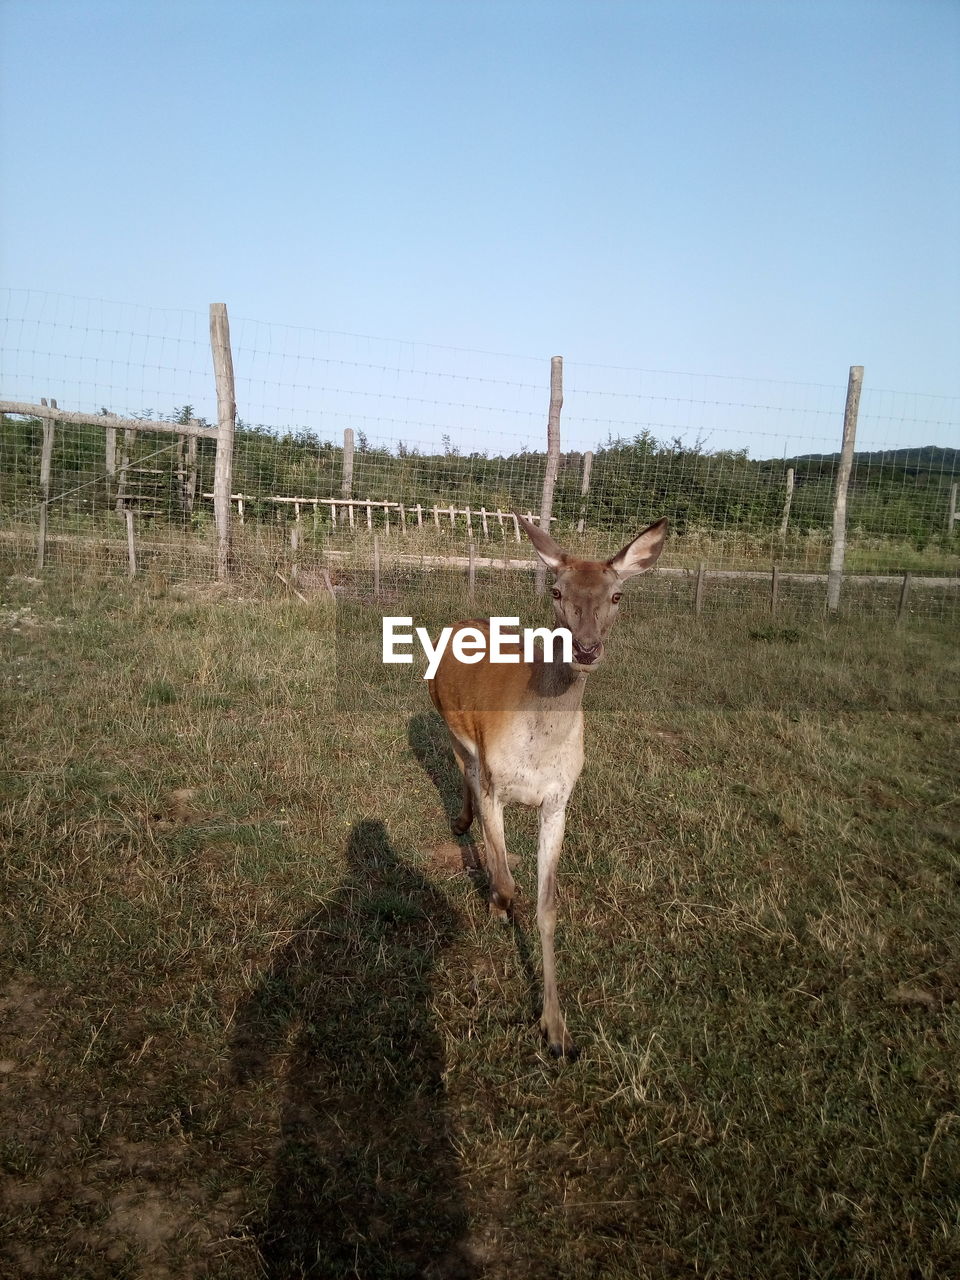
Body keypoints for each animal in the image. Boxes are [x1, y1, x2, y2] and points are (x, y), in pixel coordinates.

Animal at [427, 512, 670, 1059]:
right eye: (556, 591)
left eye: (618, 595)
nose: (586, 648)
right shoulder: (496, 779)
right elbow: (507, 880)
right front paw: (496, 903)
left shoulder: (559, 799)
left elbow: (547, 906)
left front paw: (556, 1030)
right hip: (450, 725)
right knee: (462, 768)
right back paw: (462, 823)